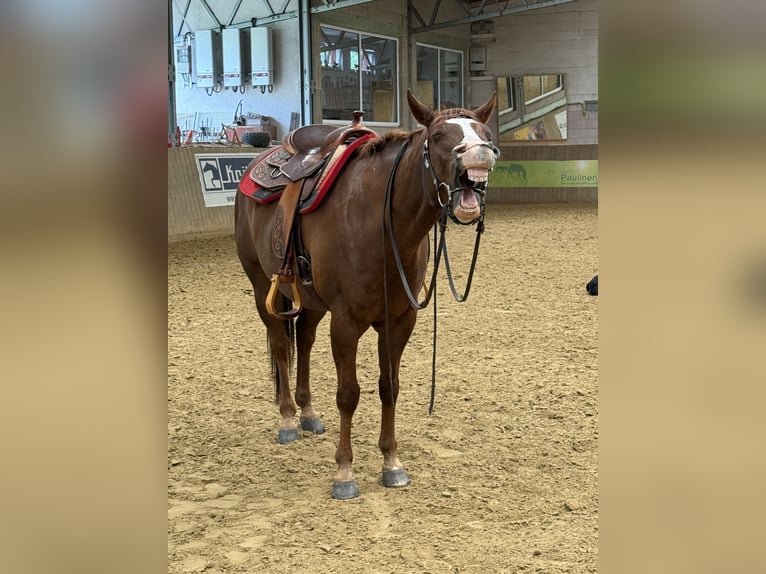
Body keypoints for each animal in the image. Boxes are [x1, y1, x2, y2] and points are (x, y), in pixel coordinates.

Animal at [234, 89, 498, 499]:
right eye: (439, 135)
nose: (480, 154)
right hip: (264, 286)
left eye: (484, 132)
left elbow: (389, 387)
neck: (380, 223)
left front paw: (391, 462)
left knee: (304, 340)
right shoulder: (346, 323)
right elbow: (348, 394)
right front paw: (344, 472)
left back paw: (308, 413)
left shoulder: (400, 320)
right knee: (280, 345)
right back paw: (289, 419)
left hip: (311, 301)